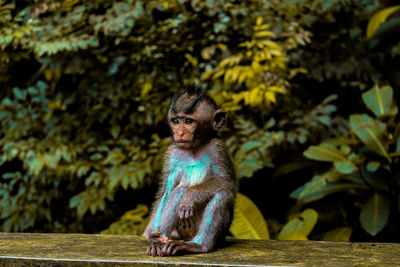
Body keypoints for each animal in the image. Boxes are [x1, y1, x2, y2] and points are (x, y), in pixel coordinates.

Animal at [145, 86, 236, 258]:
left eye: (188, 121)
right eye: (176, 121)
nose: (179, 133)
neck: (194, 148)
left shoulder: (217, 149)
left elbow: (226, 183)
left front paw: (190, 196)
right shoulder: (172, 154)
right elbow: (165, 192)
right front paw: (149, 235)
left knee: (223, 194)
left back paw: (198, 245)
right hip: (180, 231)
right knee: (177, 191)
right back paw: (160, 241)